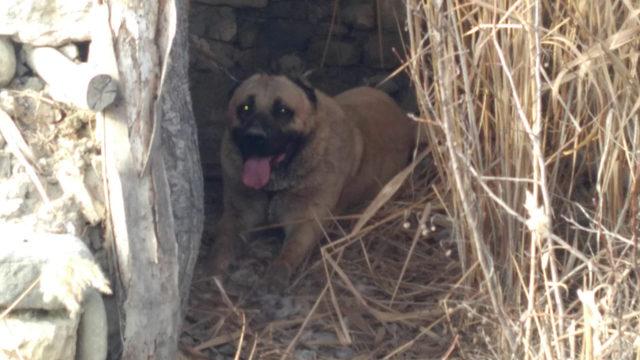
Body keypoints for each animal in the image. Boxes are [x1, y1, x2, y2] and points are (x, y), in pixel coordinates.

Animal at [209, 74, 416, 290]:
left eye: (283, 110)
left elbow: (289, 253)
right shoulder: (237, 216)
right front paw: (214, 270)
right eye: (245, 108)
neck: (273, 187)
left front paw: (274, 277)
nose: (254, 137)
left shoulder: (306, 224)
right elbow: (222, 244)